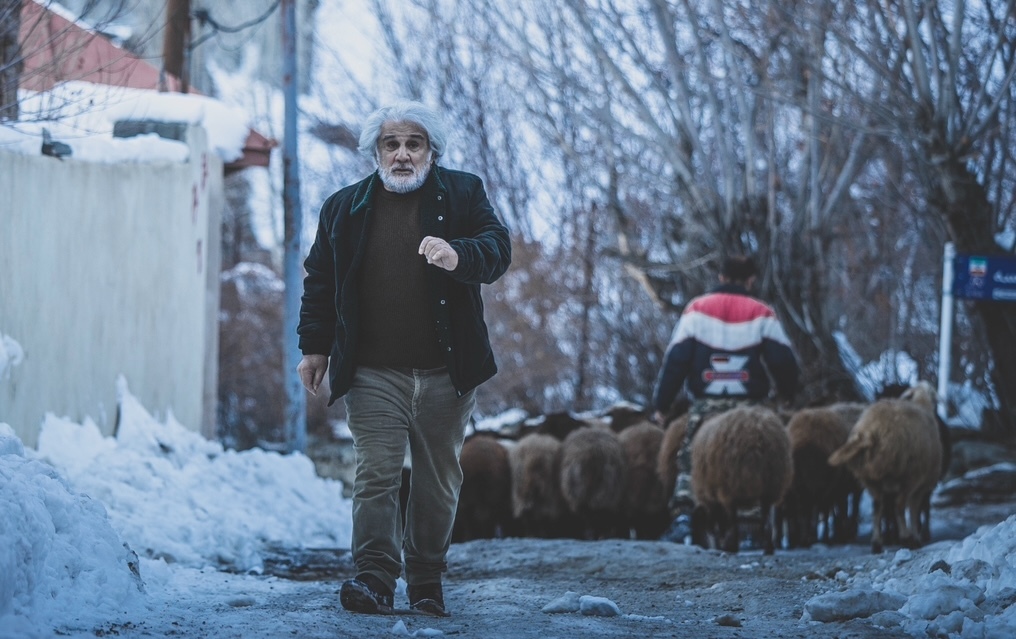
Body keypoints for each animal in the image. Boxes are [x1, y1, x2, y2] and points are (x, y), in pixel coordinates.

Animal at [690, 406, 792, 556]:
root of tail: (759, 431)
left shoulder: (719, 494)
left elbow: (725, 523)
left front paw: (725, 545)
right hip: (770, 486)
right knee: (766, 521)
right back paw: (768, 549)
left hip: (731, 486)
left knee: (734, 523)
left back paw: (733, 547)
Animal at [829, 377, 938, 552]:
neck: (922, 404)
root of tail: (870, 431)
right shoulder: (920, 483)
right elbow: (914, 510)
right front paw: (915, 536)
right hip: (908, 475)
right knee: (899, 506)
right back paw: (906, 538)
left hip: (869, 478)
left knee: (877, 506)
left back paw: (877, 542)